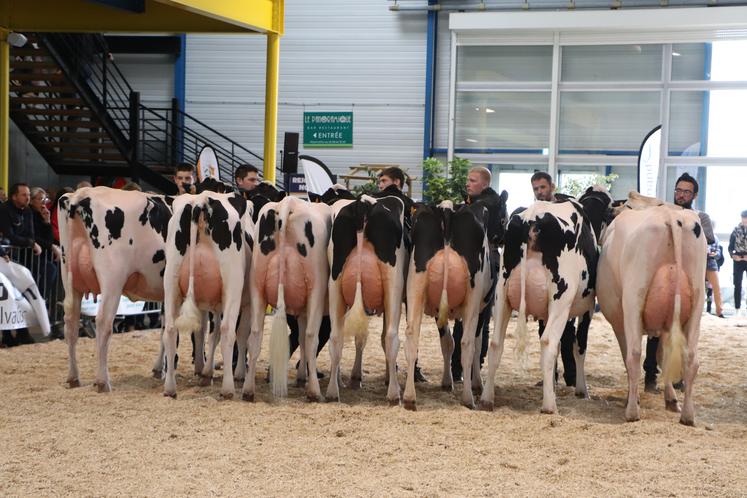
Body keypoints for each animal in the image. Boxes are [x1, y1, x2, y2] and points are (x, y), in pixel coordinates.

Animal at [328, 195, 410, 404]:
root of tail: (363, 201)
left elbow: (361, 338)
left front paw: (356, 377)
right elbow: (382, 337)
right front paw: (389, 378)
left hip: (335, 281)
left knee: (336, 337)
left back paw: (333, 391)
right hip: (393, 285)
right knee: (391, 337)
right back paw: (393, 394)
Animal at [404, 200, 496, 410]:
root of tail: (447, 208)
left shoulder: (439, 311)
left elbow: (447, 342)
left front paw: (447, 382)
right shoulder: (484, 308)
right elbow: (477, 344)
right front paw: (477, 384)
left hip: (415, 286)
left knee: (412, 337)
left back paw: (409, 398)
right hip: (473, 297)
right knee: (467, 343)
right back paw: (468, 399)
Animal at [482, 197, 600, 412]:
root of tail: (531, 218)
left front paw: (551, 385)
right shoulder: (587, 307)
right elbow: (579, 346)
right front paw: (582, 390)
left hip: (501, 294)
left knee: (496, 344)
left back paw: (486, 400)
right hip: (561, 298)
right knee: (548, 342)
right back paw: (549, 406)